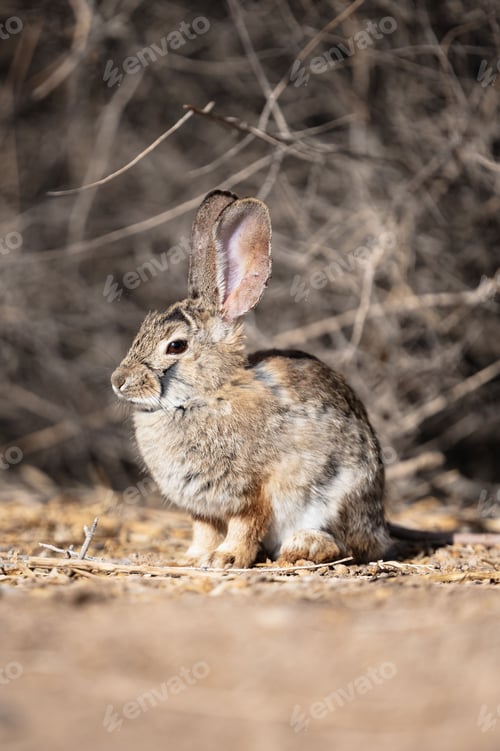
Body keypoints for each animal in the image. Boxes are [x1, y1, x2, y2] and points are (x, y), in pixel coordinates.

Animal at [111, 189, 391, 568]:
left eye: (176, 346)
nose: (118, 380)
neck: (207, 394)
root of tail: (379, 528)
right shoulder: (202, 507)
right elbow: (203, 530)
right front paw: (193, 558)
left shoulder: (252, 490)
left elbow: (246, 524)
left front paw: (225, 559)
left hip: (338, 494)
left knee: (346, 546)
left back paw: (304, 547)